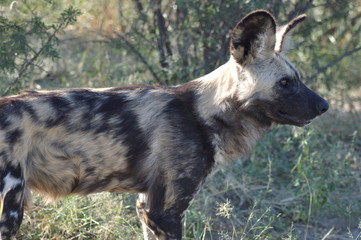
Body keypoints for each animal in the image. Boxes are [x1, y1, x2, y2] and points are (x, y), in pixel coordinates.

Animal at [0, 9, 328, 240]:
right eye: (284, 83)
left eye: (298, 78)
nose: (324, 105)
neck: (203, 111)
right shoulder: (165, 213)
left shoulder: (146, 204)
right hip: (11, 210)